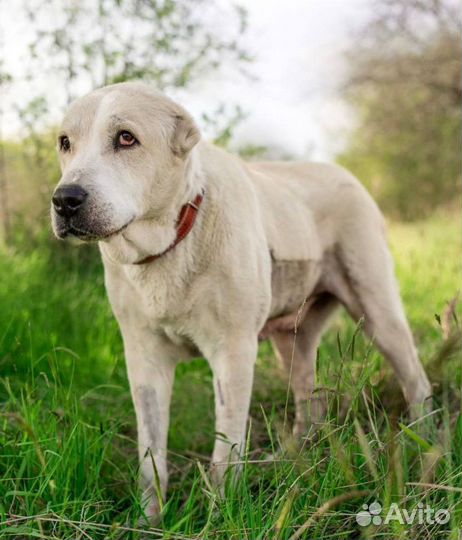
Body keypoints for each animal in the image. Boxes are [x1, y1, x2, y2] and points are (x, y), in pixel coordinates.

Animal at [51, 82, 434, 520]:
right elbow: (151, 454)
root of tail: (344, 173)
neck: (174, 239)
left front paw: (219, 516)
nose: (64, 200)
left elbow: (225, 450)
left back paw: (426, 448)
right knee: (310, 401)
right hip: (293, 340)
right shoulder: (144, 357)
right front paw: (149, 519)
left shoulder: (233, 352)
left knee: (416, 380)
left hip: (378, 311)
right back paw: (290, 460)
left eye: (126, 138)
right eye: (65, 143)